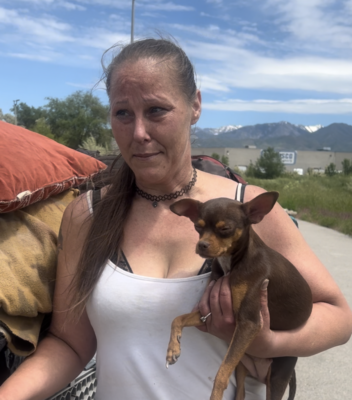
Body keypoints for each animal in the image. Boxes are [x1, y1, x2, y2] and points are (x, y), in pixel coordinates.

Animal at [165, 192, 310, 398]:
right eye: (197, 227)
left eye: (225, 229)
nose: (201, 245)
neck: (232, 264)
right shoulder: (206, 312)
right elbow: (177, 319)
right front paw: (172, 348)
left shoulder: (249, 323)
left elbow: (221, 374)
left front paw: (215, 395)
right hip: (242, 367)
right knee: (240, 392)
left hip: (276, 378)